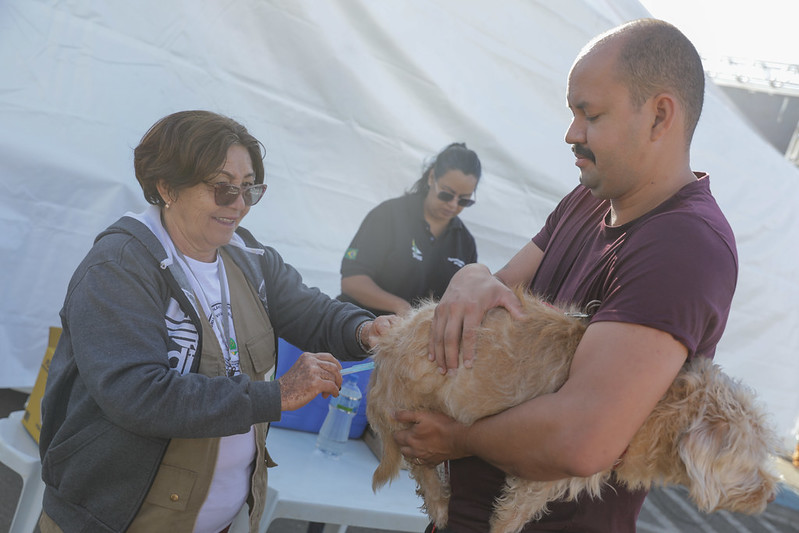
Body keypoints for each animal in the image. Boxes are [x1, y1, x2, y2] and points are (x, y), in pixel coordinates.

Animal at [368, 288, 780, 532]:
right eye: (751, 457)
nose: (773, 494)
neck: (662, 406)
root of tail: (387, 348)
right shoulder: (541, 472)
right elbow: (510, 516)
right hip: (410, 408)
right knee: (421, 470)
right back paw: (440, 505)